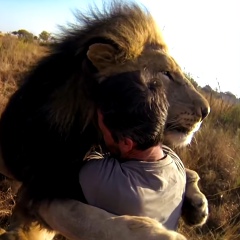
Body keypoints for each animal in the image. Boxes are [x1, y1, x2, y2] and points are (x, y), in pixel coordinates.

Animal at [0, 0, 209, 239]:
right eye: (166, 73)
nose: (206, 111)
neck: (89, 128)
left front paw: (196, 203)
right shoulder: (41, 183)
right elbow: (89, 217)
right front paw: (159, 235)